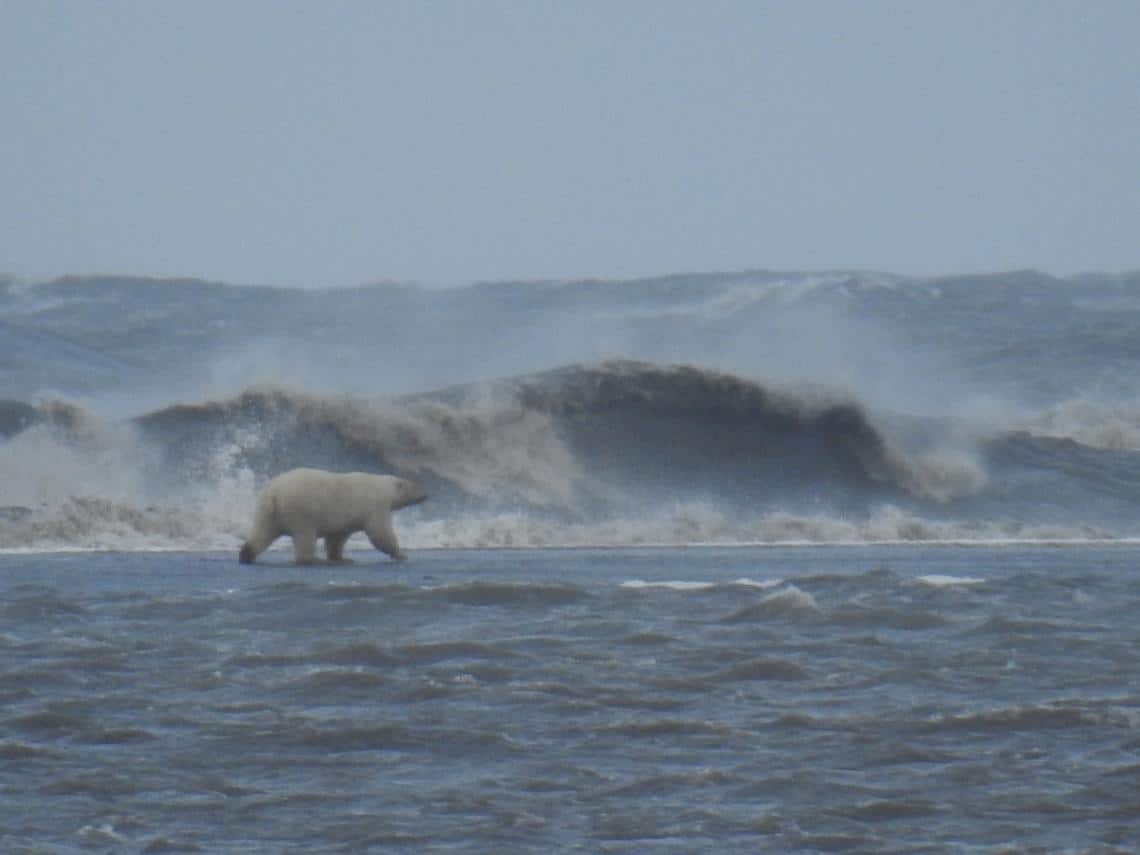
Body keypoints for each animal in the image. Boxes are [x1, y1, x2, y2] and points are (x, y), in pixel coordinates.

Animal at [235, 471, 428, 565]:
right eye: (416, 485)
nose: (426, 494)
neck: (383, 487)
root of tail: (273, 493)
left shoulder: (345, 518)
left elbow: (337, 537)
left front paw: (342, 558)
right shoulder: (374, 507)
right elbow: (380, 533)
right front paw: (401, 554)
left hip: (268, 511)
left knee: (262, 532)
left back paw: (246, 554)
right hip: (300, 509)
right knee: (305, 535)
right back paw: (312, 559)